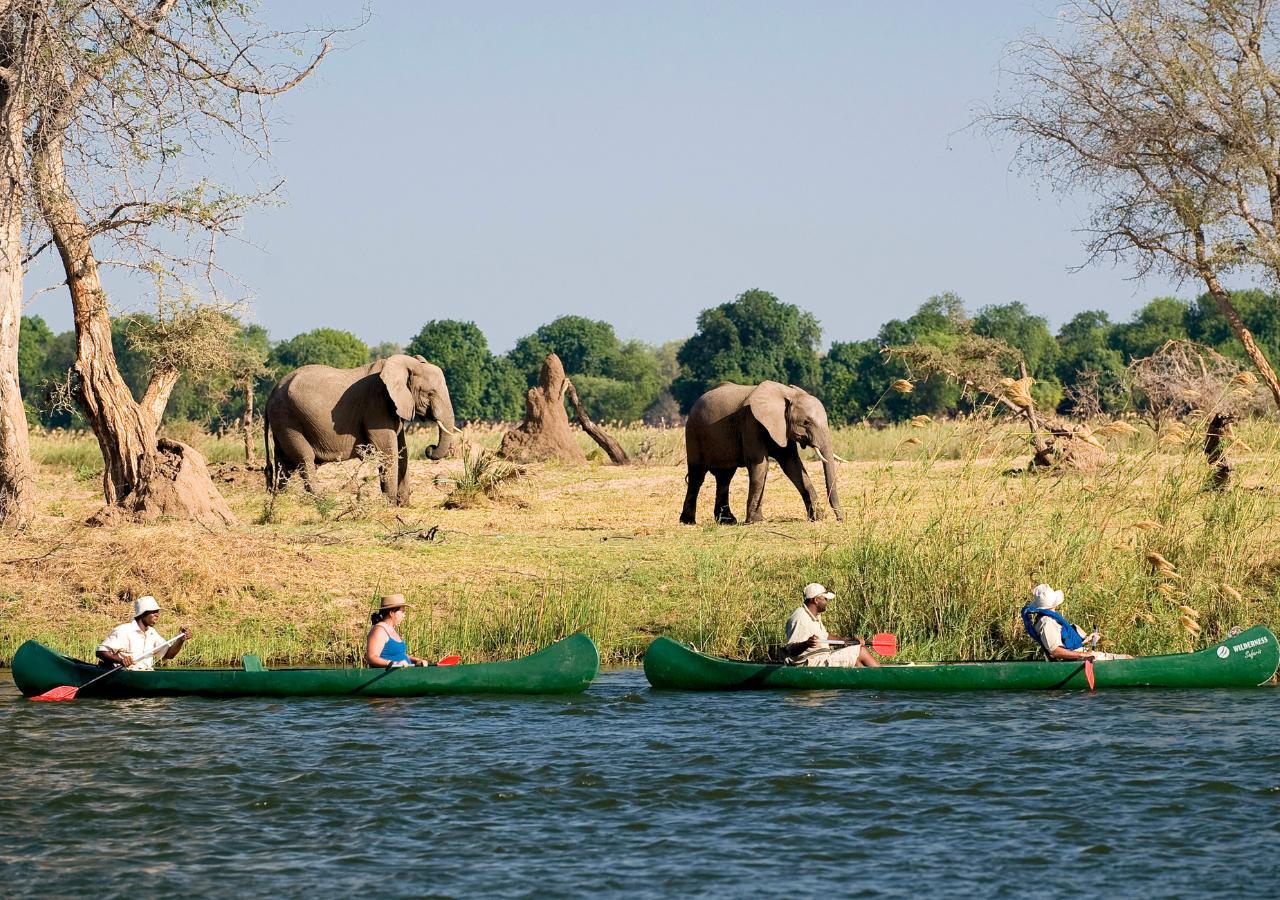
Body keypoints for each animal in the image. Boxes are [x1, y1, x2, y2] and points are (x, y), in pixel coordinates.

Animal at [264, 354, 457, 506]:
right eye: (430, 393)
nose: (430, 448)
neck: (406, 364)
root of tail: (271, 393)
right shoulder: (377, 404)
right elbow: (388, 450)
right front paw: (390, 504)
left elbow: (402, 451)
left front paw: (403, 504)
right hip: (288, 419)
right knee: (304, 458)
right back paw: (322, 500)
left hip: (282, 420)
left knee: (284, 462)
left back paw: (279, 499)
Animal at [680, 381, 843, 525]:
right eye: (806, 422)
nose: (840, 519)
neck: (787, 394)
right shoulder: (751, 423)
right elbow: (759, 465)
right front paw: (755, 521)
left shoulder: (782, 429)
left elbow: (793, 465)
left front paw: (817, 517)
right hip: (693, 433)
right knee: (697, 476)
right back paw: (688, 521)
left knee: (725, 477)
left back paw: (727, 521)